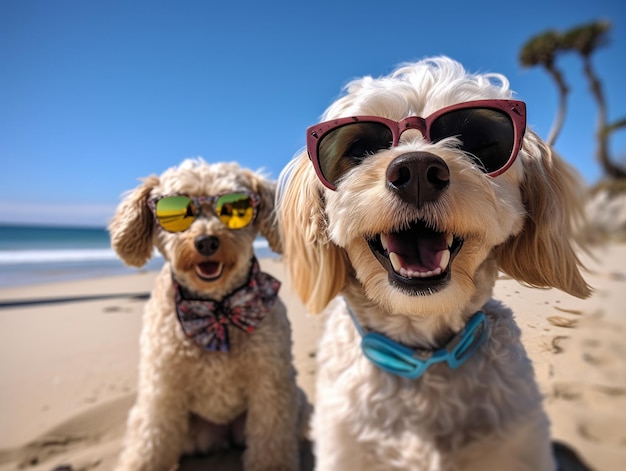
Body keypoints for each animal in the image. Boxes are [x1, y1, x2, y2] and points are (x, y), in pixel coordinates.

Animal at [110, 159, 310, 471]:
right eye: (175, 210)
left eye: (235, 208)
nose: (206, 242)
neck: (215, 308)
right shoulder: (162, 387)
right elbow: (149, 443)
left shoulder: (270, 384)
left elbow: (271, 443)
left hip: (296, 401)